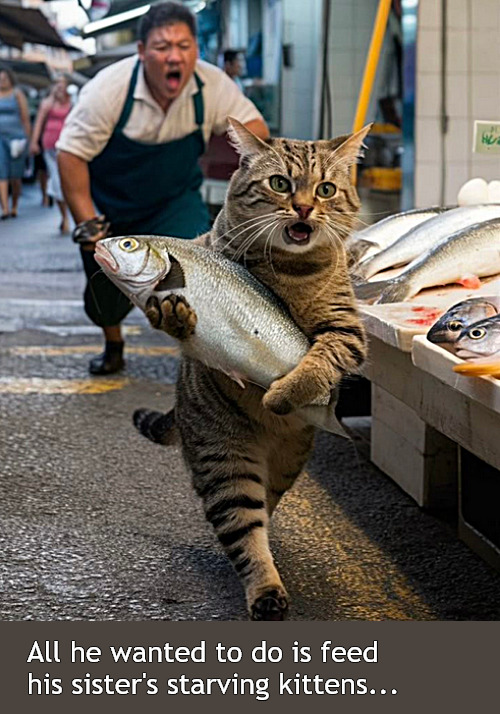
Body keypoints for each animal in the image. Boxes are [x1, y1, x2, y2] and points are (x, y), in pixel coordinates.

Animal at [135, 121, 370, 616]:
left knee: (265, 505)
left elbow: (319, 361)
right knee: (243, 528)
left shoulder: (346, 331)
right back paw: (265, 591)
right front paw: (174, 315)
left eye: (325, 189)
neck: (290, 271)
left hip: (285, 463)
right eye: (280, 183)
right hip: (223, 456)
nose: (304, 207)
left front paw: (284, 391)